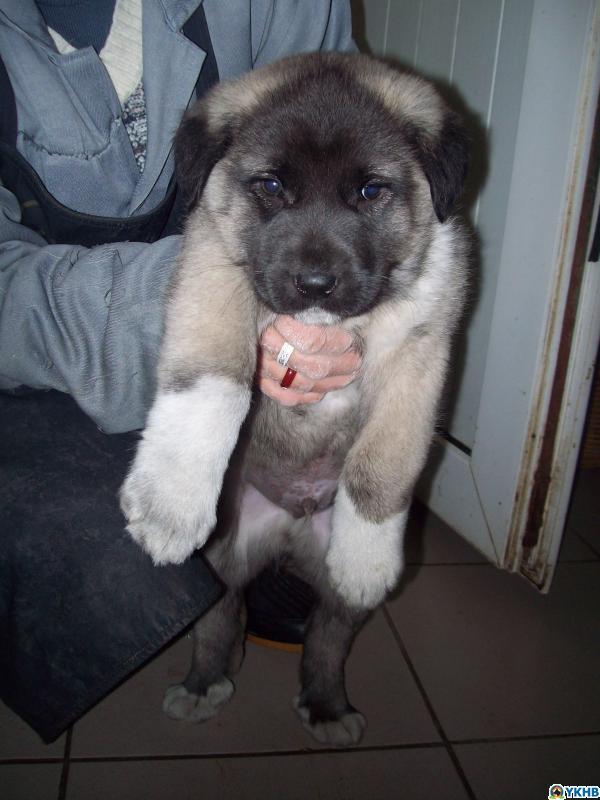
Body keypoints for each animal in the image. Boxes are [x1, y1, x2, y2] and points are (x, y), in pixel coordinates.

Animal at [119, 52, 469, 746]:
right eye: (272, 186)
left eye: (370, 192)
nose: (314, 283)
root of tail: (285, 527)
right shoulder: (214, 266)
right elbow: (212, 384)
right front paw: (170, 502)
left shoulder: (421, 348)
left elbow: (383, 465)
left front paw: (369, 554)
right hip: (219, 561)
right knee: (219, 620)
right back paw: (205, 683)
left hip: (325, 592)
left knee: (328, 638)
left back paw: (327, 705)